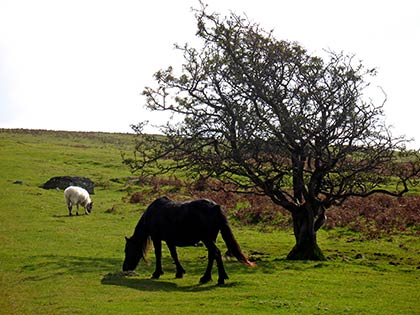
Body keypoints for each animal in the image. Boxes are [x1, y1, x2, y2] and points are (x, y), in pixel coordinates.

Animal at [122, 198, 256, 284]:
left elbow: (158, 255)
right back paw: (206, 278)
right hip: (211, 239)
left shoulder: (157, 238)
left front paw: (157, 273)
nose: (125, 268)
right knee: (212, 255)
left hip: (207, 239)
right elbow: (174, 255)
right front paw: (179, 272)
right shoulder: (170, 240)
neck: (153, 213)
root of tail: (215, 207)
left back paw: (220, 278)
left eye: (127, 250)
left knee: (216, 253)